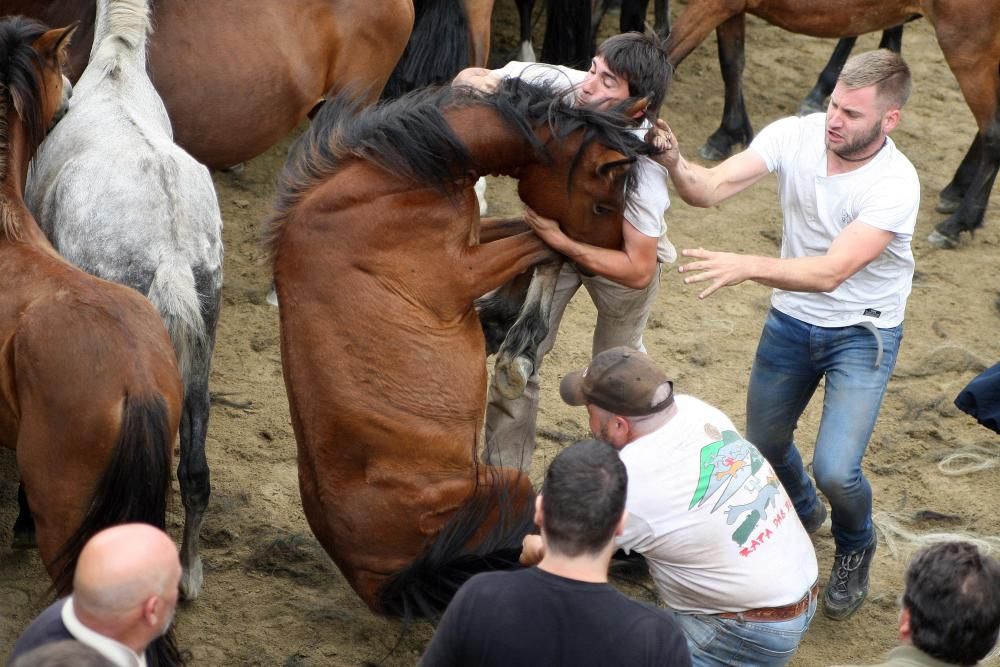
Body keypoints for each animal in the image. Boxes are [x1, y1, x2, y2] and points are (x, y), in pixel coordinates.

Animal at [262, 81, 652, 620]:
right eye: (602, 204)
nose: (624, 270)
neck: (394, 180)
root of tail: (381, 584)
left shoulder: (477, 235)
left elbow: (528, 234)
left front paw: (504, 325)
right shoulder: (461, 271)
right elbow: (545, 243)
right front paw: (513, 341)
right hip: (511, 485)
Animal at [664, 0, 1000, 245]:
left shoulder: (713, 4)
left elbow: (668, 57)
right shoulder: (732, 8)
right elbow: (732, 62)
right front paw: (728, 132)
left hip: (967, 44)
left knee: (992, 131)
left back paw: (958, 223)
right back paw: (956, 190)